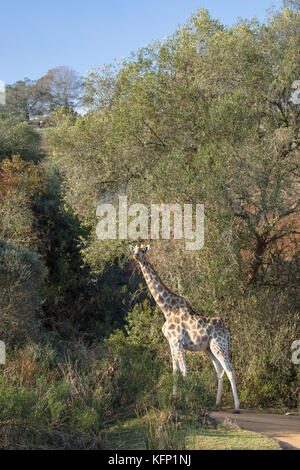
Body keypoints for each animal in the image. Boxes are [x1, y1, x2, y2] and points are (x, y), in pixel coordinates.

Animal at [130, 244, 240, 414]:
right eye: (134, 250)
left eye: (142, 250)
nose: (136, 257)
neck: (167, 309)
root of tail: (227, 332)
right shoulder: (171, 342)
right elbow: (175, 371)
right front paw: (175, 398)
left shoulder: (178, 341)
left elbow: (184, 371)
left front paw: (186, 401)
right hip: (209, 348)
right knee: (220, 370)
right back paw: (216, 403)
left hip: (220, 345)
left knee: (229, 370)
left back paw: (236, 407)